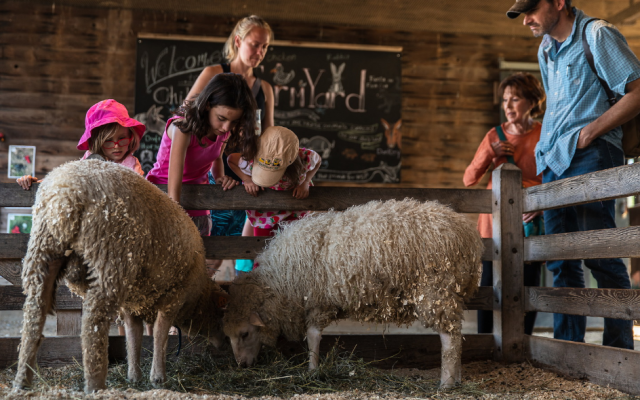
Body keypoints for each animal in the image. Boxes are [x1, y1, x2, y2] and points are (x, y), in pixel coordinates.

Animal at [13, 159, 230, 394]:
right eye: (221, 315)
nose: (224, 345)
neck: (197, 296)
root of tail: (66, 195)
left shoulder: (132, 303)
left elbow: (133, 336)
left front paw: (134, 376)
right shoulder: (173, 297)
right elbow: (159, 334)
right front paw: (158, 377)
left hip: (43, 251)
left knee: (34, 314)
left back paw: (23, 380)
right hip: (109, 259)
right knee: (92, 324)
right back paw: (95, 384)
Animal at [222, 198, 482, 390]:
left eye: (245, 333)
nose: (241, 365)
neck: (279, 281)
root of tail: (469, 235)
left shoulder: (317, 301)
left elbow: (313, 336)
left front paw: (312, 370)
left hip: (436, 291)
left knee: (449, 338)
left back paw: (446, 383)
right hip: (452, 293)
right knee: (457, 335)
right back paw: (456, 378)